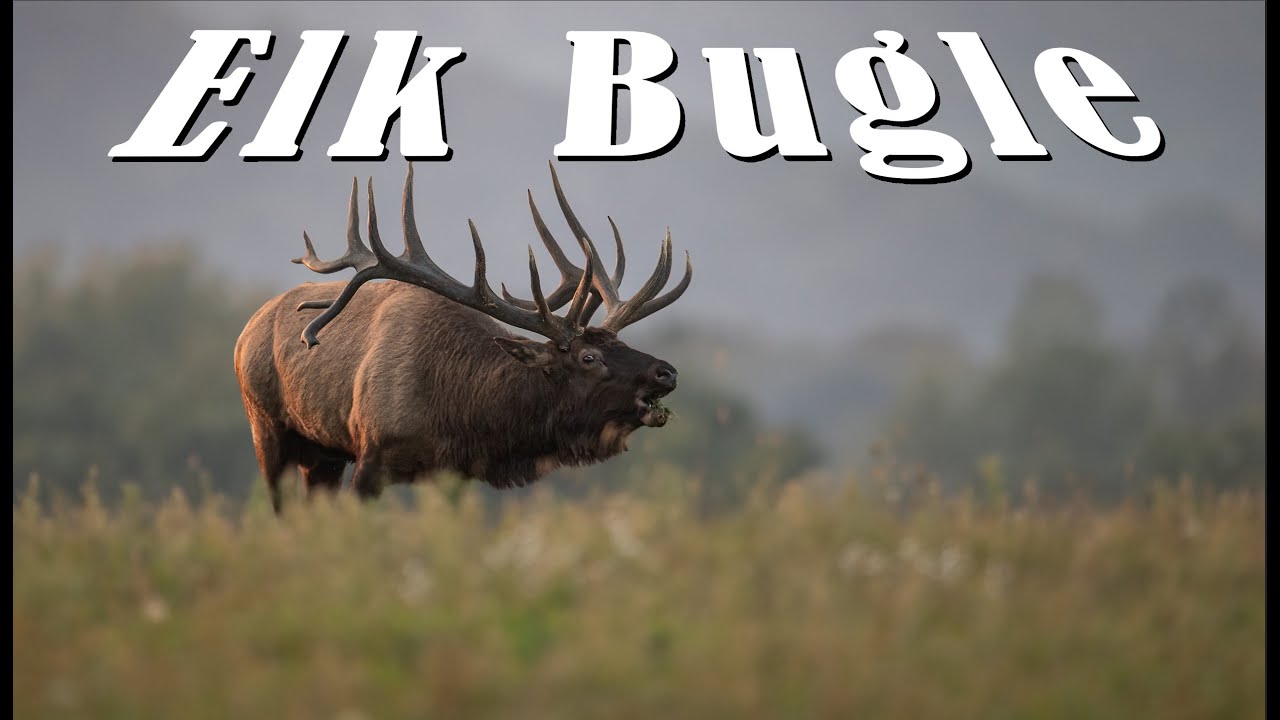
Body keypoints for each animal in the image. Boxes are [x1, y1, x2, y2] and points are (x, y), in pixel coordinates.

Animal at [233, 163, 692, 513]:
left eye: (620, 344)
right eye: (588, 357)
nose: (666, 373)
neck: (459, 408)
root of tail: (246, 331)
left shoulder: (450, 473)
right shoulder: (371, 451)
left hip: (322, 452)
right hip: (266, 425)